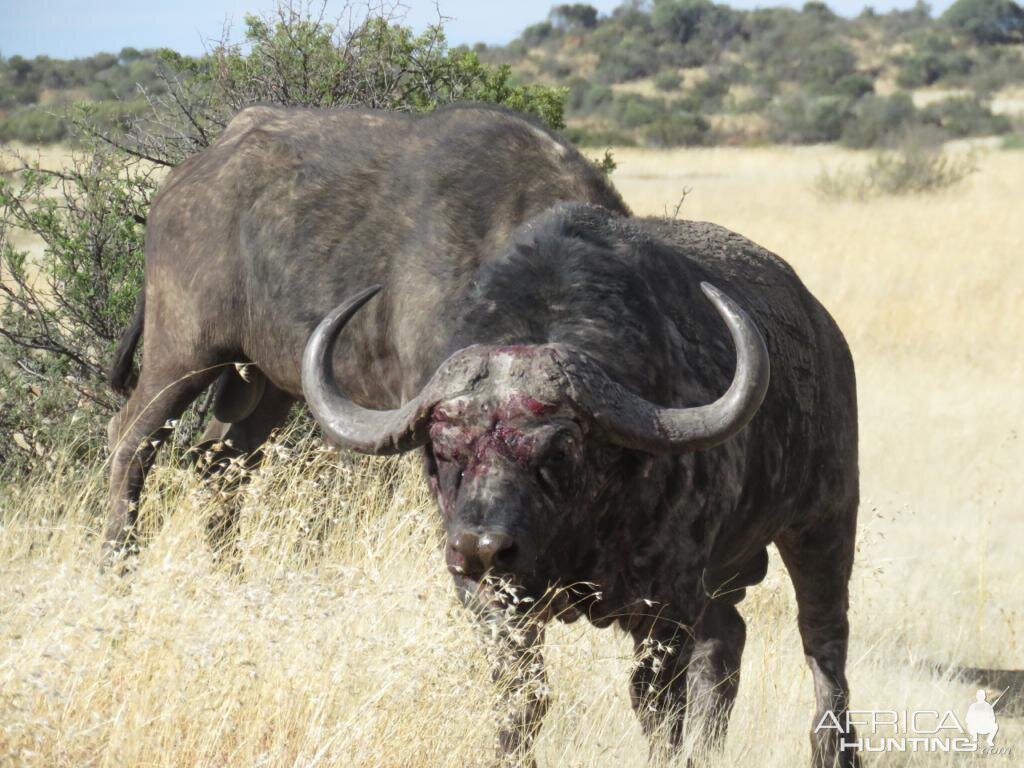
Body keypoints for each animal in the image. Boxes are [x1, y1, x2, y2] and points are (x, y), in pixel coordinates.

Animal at [105, 103, 856, 768]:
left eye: (560, 450)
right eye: (444, 451)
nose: (481, 549)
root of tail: (187, 178)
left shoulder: (667, 598)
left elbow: (657, 706)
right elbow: (523, 698)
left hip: (822, 522)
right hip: (187, 351)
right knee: (135, 442)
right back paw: (122, 574)